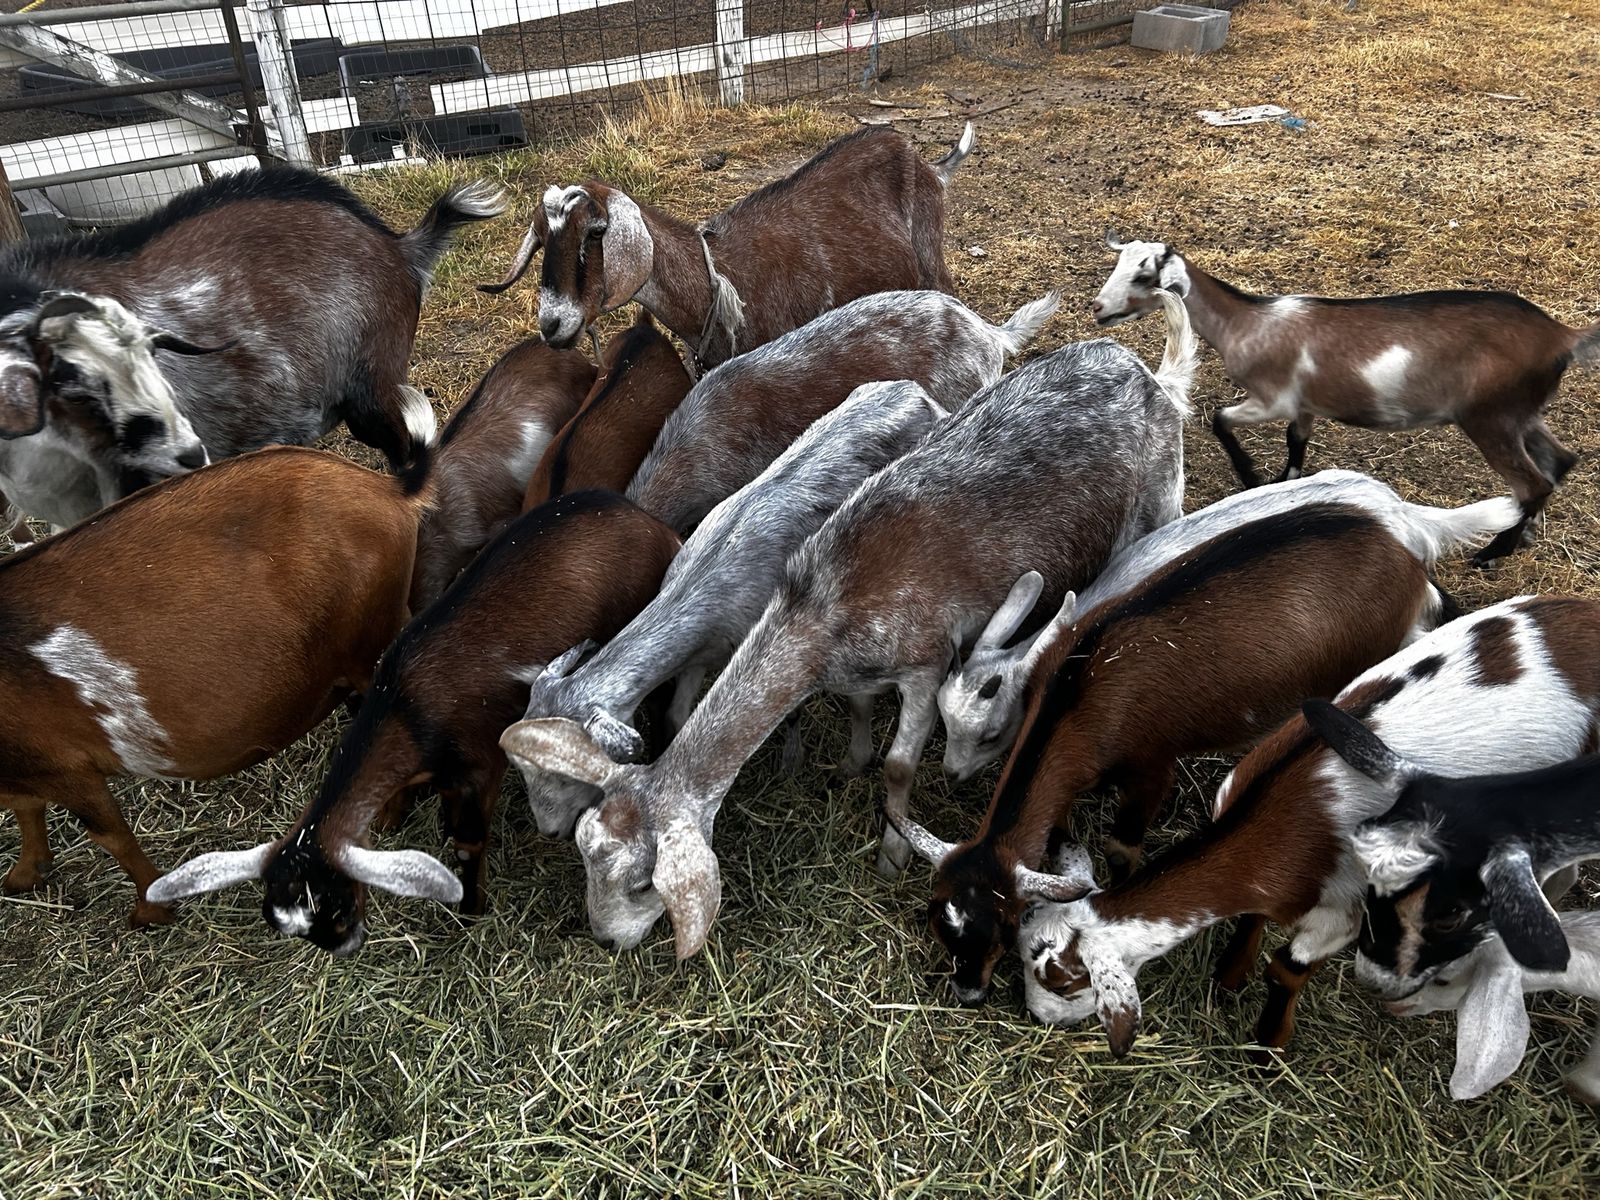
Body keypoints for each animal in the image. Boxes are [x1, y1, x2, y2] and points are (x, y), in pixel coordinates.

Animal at [0, 446, 427, 927]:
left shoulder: (68, 770)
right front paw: (24, 874)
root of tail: (391, 489)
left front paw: (150, 910)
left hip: (372, 644)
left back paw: (388, 816)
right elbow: (25, 807)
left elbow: (111, 836)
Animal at [147, 490, 681, 955]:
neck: (407, 709)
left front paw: (471, 909)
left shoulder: (481, 767)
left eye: (339, 907)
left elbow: (466, 842)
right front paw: (394, 816)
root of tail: (655, 526)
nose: (347, 948)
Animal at [481, 124, 974, 371]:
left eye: (597, 231)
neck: (715, 282)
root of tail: (926, 161)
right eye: (541, 240)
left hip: (931, 257)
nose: (551, 324)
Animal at [514, 380, 944, 847]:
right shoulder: (698, 656)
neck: (708, 581)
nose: (549, 831)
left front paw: (791, 761)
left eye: (565, 768)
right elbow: (675, 714)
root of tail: (913, 391)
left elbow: (790, 710)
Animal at [1092, 236, 1600, 562]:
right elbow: (1296, 447)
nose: (1098, 308)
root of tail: (1562, 336)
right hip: (1521, 414)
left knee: (1532, 483)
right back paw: (1523, 536)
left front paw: (1251, 476)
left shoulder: (1273, 399)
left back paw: (1492, 553)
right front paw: (1281, 487)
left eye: (1143, 275)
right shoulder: (1303, 407)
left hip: (1490, 418)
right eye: (1119, 265)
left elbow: (1219, 418)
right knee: (1559, 463)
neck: (1248, 322)